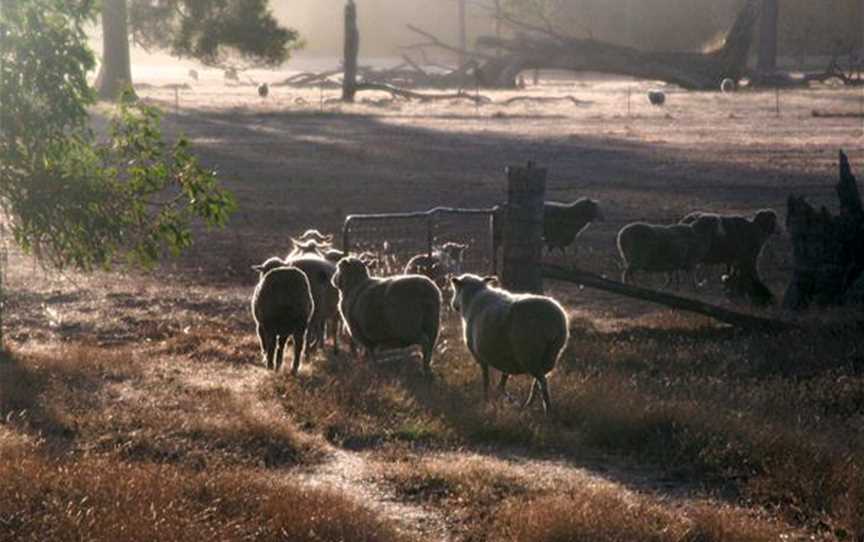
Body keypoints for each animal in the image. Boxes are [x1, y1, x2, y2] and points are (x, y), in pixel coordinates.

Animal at [448, 276, 572, 416]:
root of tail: (553, 323)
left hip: (529, 355)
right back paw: (529, 404)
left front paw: (486, 398)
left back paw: (546, 410)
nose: (453, 305)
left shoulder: (480, 355)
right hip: (551, 355)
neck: (473, 297)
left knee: (543, 382)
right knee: (539, 381)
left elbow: (486, 379)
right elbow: (504, 376)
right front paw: (502, 394)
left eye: (455, 289)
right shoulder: (507, 356)